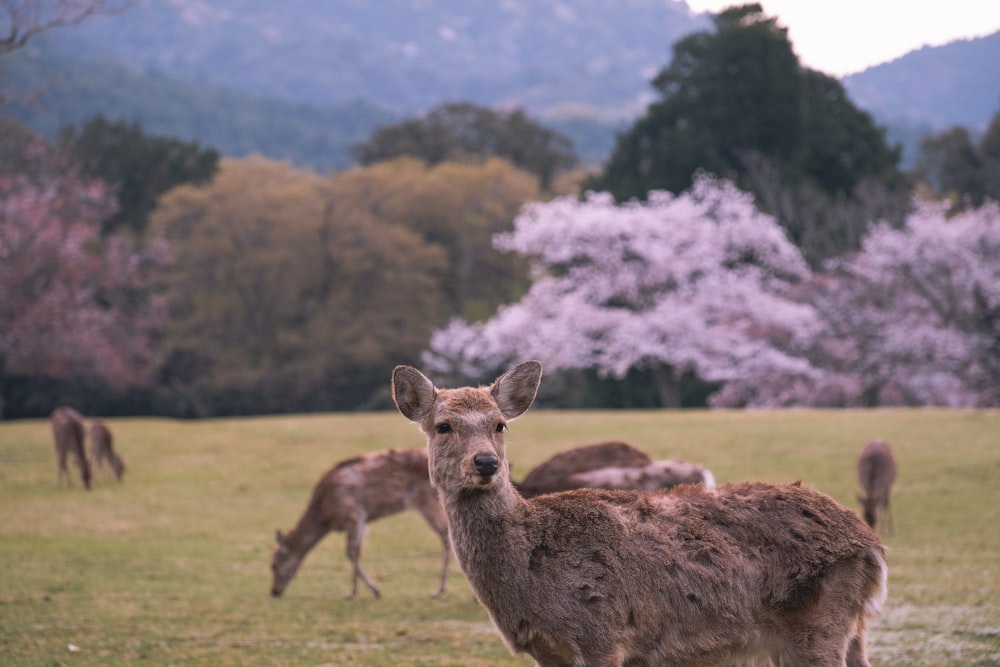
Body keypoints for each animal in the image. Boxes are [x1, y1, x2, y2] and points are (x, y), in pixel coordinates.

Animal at [268, 448, 452, 600]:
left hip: (428, 501)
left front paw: (367, 591)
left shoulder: (353, 515)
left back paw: (438, 591)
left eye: (274, 564)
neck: (324, 516)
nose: (274, 591)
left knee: (446, 536)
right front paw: (357, 591)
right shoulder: (363, 520)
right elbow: (358, 551)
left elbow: (350, 552)